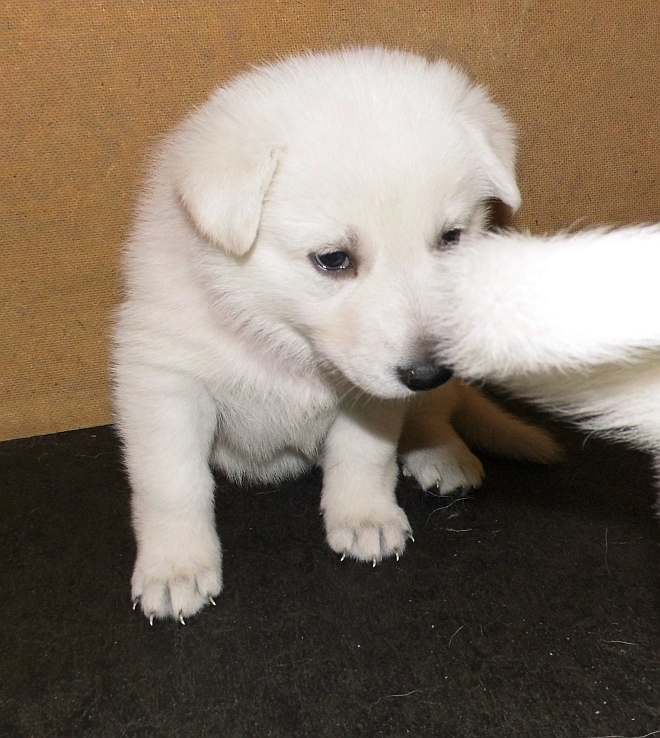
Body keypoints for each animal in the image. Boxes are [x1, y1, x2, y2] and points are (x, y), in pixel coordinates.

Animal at [112, 47, 556, 620]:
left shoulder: (370, 391)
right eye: (333, 259)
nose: (429, 372)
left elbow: (363, 455)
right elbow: (172, 482)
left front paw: (365, 516)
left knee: (433, 416)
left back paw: (442, 452)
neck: (281, 340)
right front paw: (176, 567)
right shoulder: (163, 380)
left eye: (451, 238)